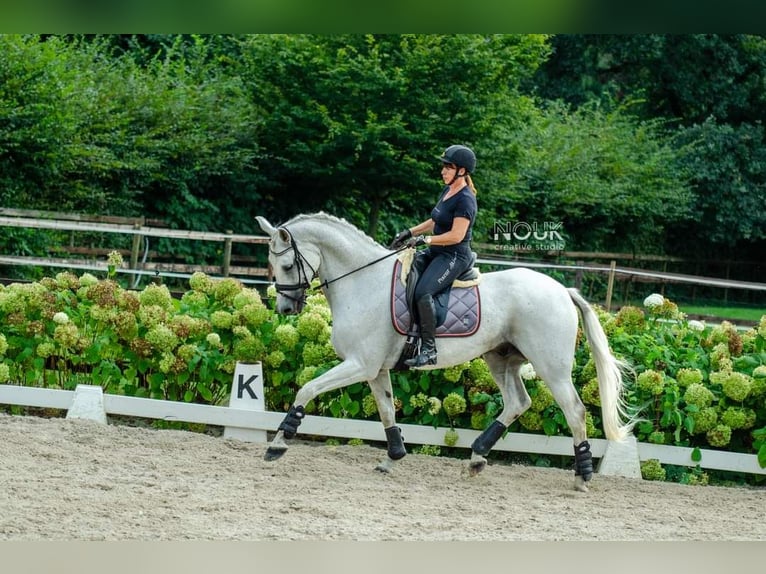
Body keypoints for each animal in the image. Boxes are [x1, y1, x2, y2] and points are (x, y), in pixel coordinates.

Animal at [256, 214, 636, 492]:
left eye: (286, 265)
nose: (285, 308)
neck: (363, 284)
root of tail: (561, 289)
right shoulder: (375, 370)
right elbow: (386, 412)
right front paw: (392, 458)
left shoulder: (360, 365)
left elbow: (307, 389)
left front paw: (278, 444)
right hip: (500, 358)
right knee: (518, 402)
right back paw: (477, 458)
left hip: (550, 366)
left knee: (574, 410)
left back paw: (582, 476)